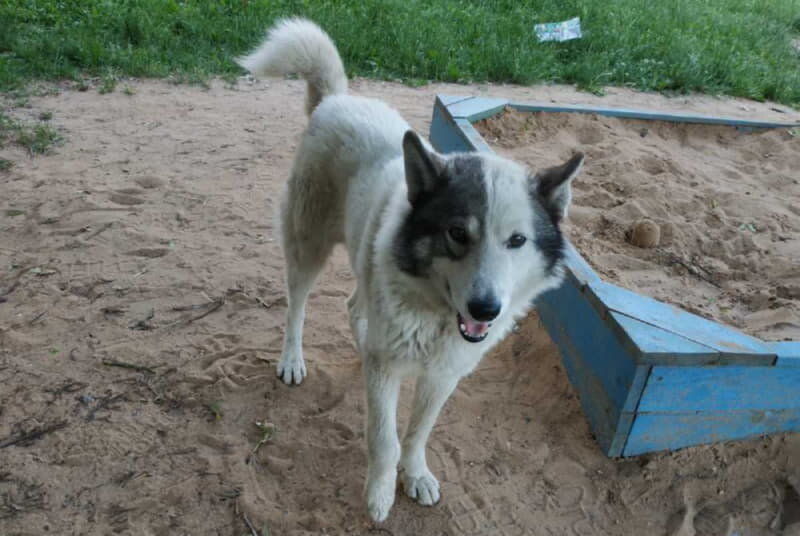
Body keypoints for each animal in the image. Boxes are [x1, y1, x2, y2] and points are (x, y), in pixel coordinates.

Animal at [236, 18, 580, 520]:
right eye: (457, 233)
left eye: (517, 241)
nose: (486, 309)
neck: (436, 315)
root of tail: (337, 99)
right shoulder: (387, 373)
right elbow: (385, 440)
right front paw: (380, 494)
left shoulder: (443, 375)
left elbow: (417, 434)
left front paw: (415, 476)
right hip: (307, 246)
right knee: (296, 306)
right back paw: (292, 360)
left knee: (354, 304)